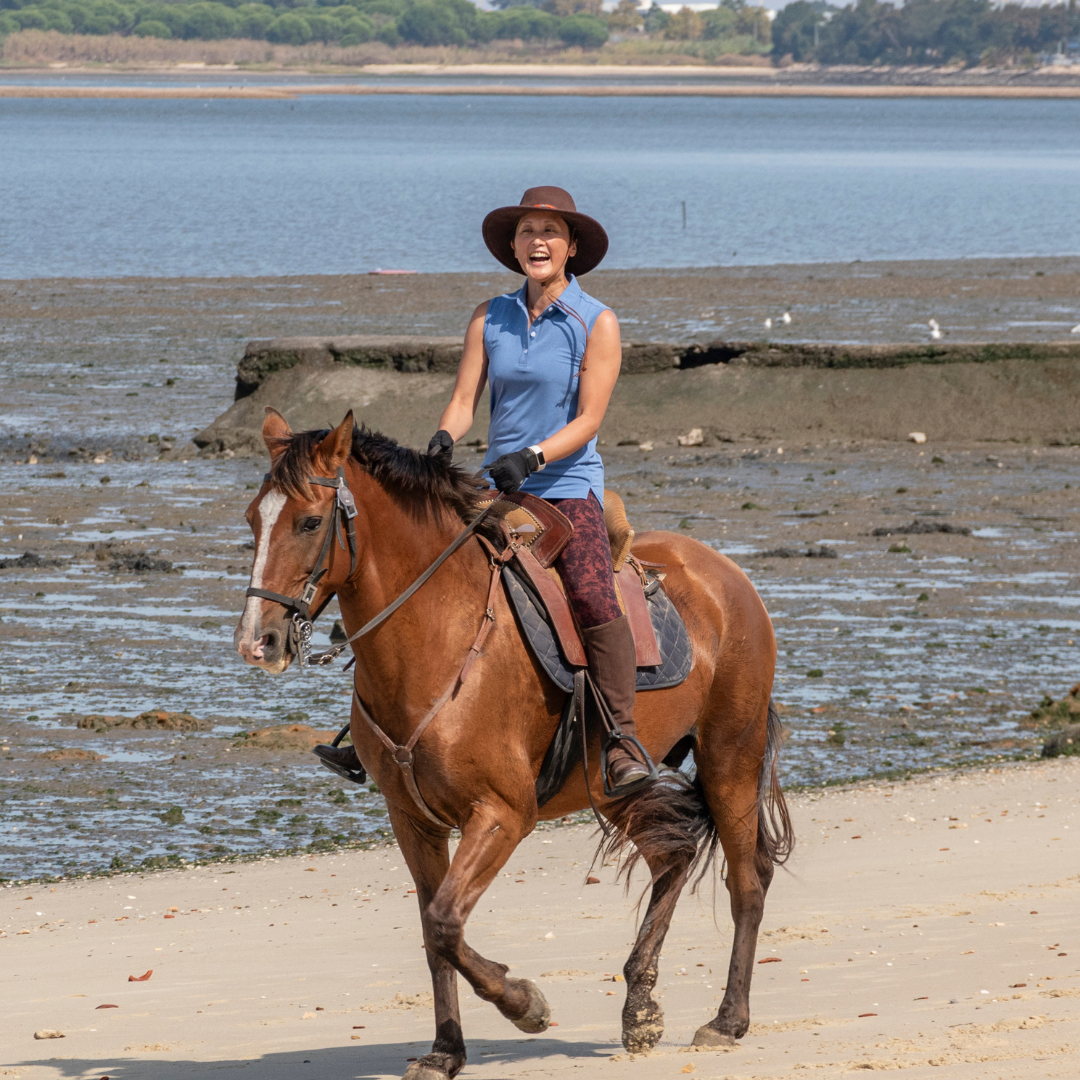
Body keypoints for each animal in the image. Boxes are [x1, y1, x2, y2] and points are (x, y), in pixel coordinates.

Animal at [236, 406, 794, 1080]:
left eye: (310, 522)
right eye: (253, 520)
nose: (257, 641)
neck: (439, 636)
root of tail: (724, 573)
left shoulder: (503, 813)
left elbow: (446, 924)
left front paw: (524, 1003)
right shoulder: (412, 820)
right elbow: (435, 934)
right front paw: (445, 1051)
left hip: (729, 758)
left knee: (747, 882)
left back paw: (727, 1019)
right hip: (609, 780)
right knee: (673, 856)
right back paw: (640, 1007)